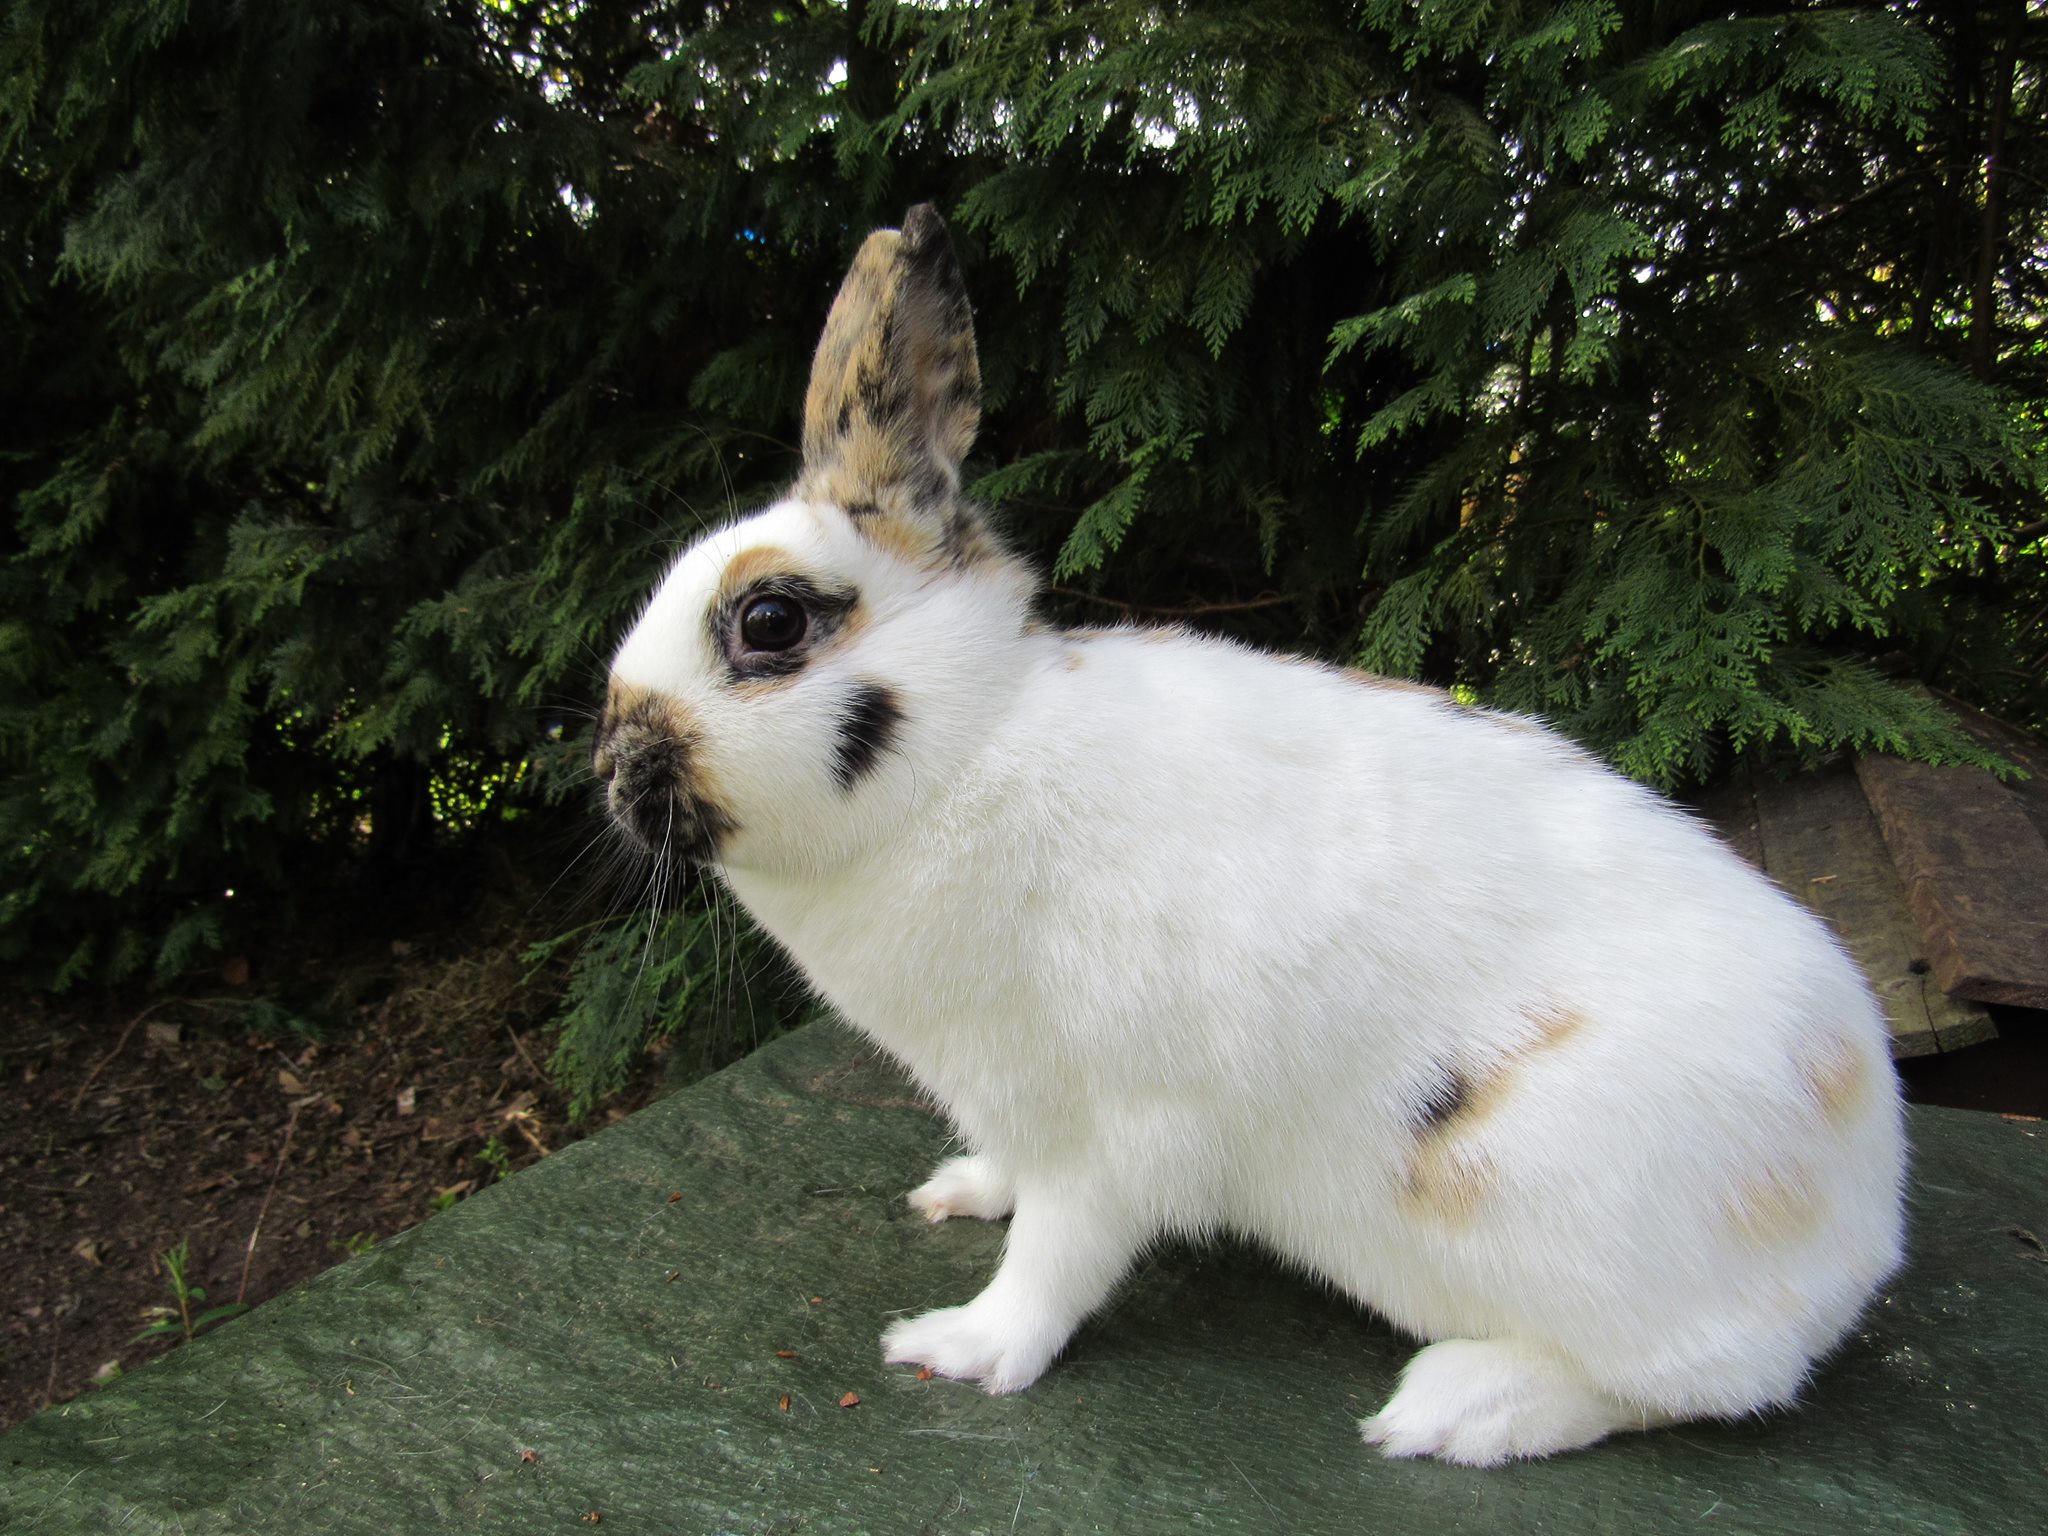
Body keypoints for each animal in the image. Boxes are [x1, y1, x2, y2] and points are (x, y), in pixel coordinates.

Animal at [593, 204, 1907, 1465]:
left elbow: (1059, 1255)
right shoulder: (1009, 1099)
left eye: (769, 621)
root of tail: (1862, 1214)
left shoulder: (1116, 1126)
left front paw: (959, 1347)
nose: (610, 764)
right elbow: (1013, 1186)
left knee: (1698, 1384)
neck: (966, 753)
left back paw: (1454, 1411)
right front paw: (958, 1194)